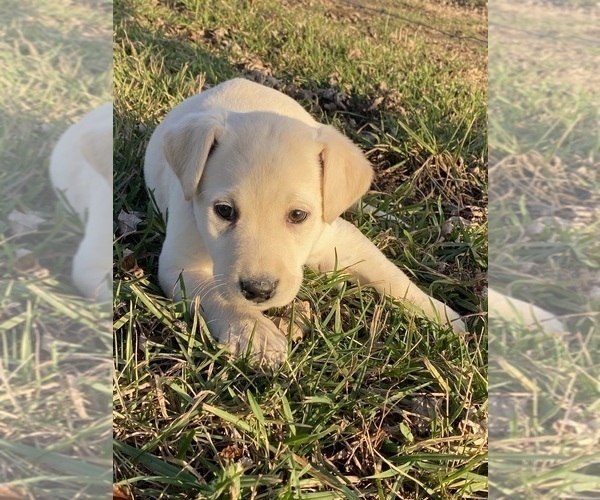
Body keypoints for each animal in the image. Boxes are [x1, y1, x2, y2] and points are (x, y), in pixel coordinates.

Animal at [145, 80, 464, 366]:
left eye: (298, 215)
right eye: (224, 211)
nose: (259, 291)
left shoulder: (340, 239)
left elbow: (391, 275)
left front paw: (440, 315)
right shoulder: (179, 266)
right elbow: (218, 296)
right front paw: (257, 336)